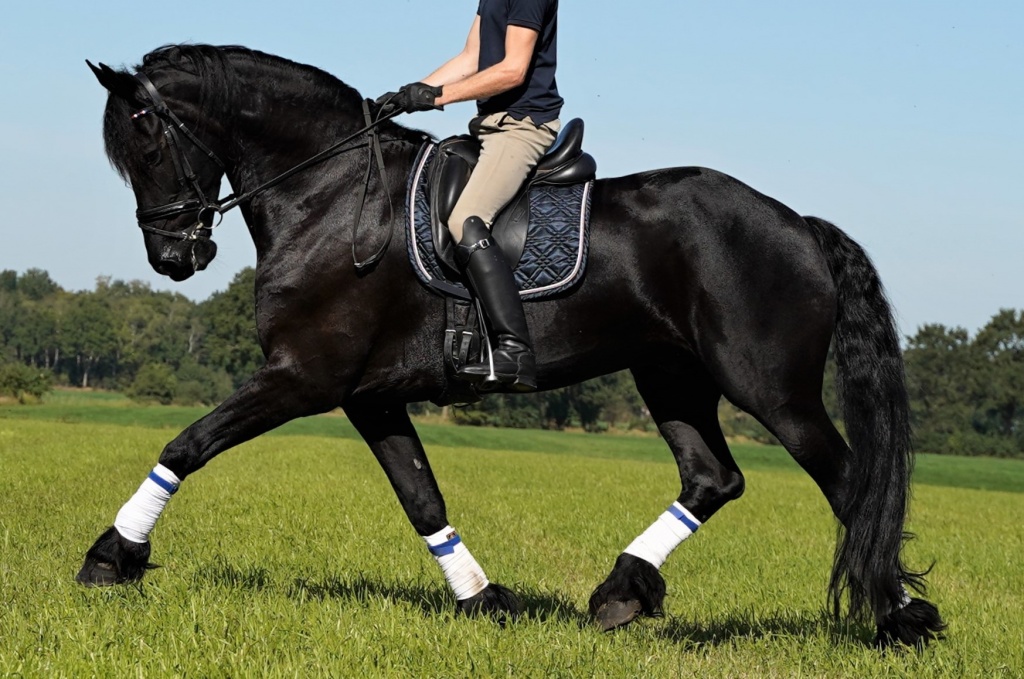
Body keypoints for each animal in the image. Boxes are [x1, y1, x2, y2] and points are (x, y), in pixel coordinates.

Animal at [78, 44, 944, 648]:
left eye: (147, 144)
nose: (174, 257)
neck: (329, 194)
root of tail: (797, 223)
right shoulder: (369, 395)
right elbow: (422, 496)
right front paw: (483, 598)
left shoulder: (303, 376)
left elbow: (187, 444)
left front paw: (112, 554)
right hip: (670, 375)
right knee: (713, 477)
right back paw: (621, 591)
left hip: (771, 387)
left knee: (850, 483)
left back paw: (905, 619)